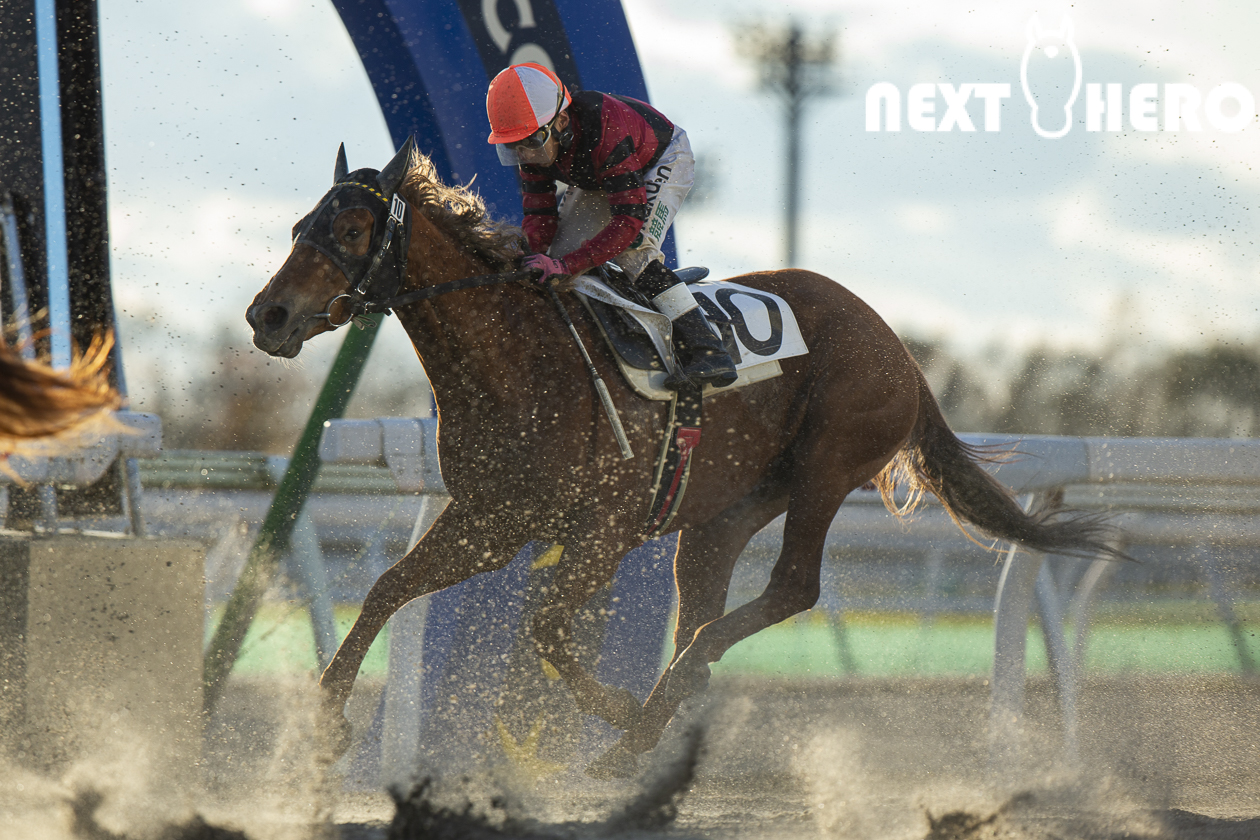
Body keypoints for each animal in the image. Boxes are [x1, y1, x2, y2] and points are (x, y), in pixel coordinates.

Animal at [246, 139, 1122, 777]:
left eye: (350, 230)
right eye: (296, 228)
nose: (267, 315)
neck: (517, 357)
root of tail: (900, 350)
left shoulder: (602, 528)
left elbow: (547, 629)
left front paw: (622, 709)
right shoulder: (493, 518)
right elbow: (388, 590)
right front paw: (328, 719)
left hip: (826, 468)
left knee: (791, 589)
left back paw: (651, 717)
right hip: (727, 510)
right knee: (707, 603)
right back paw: (665, 710)